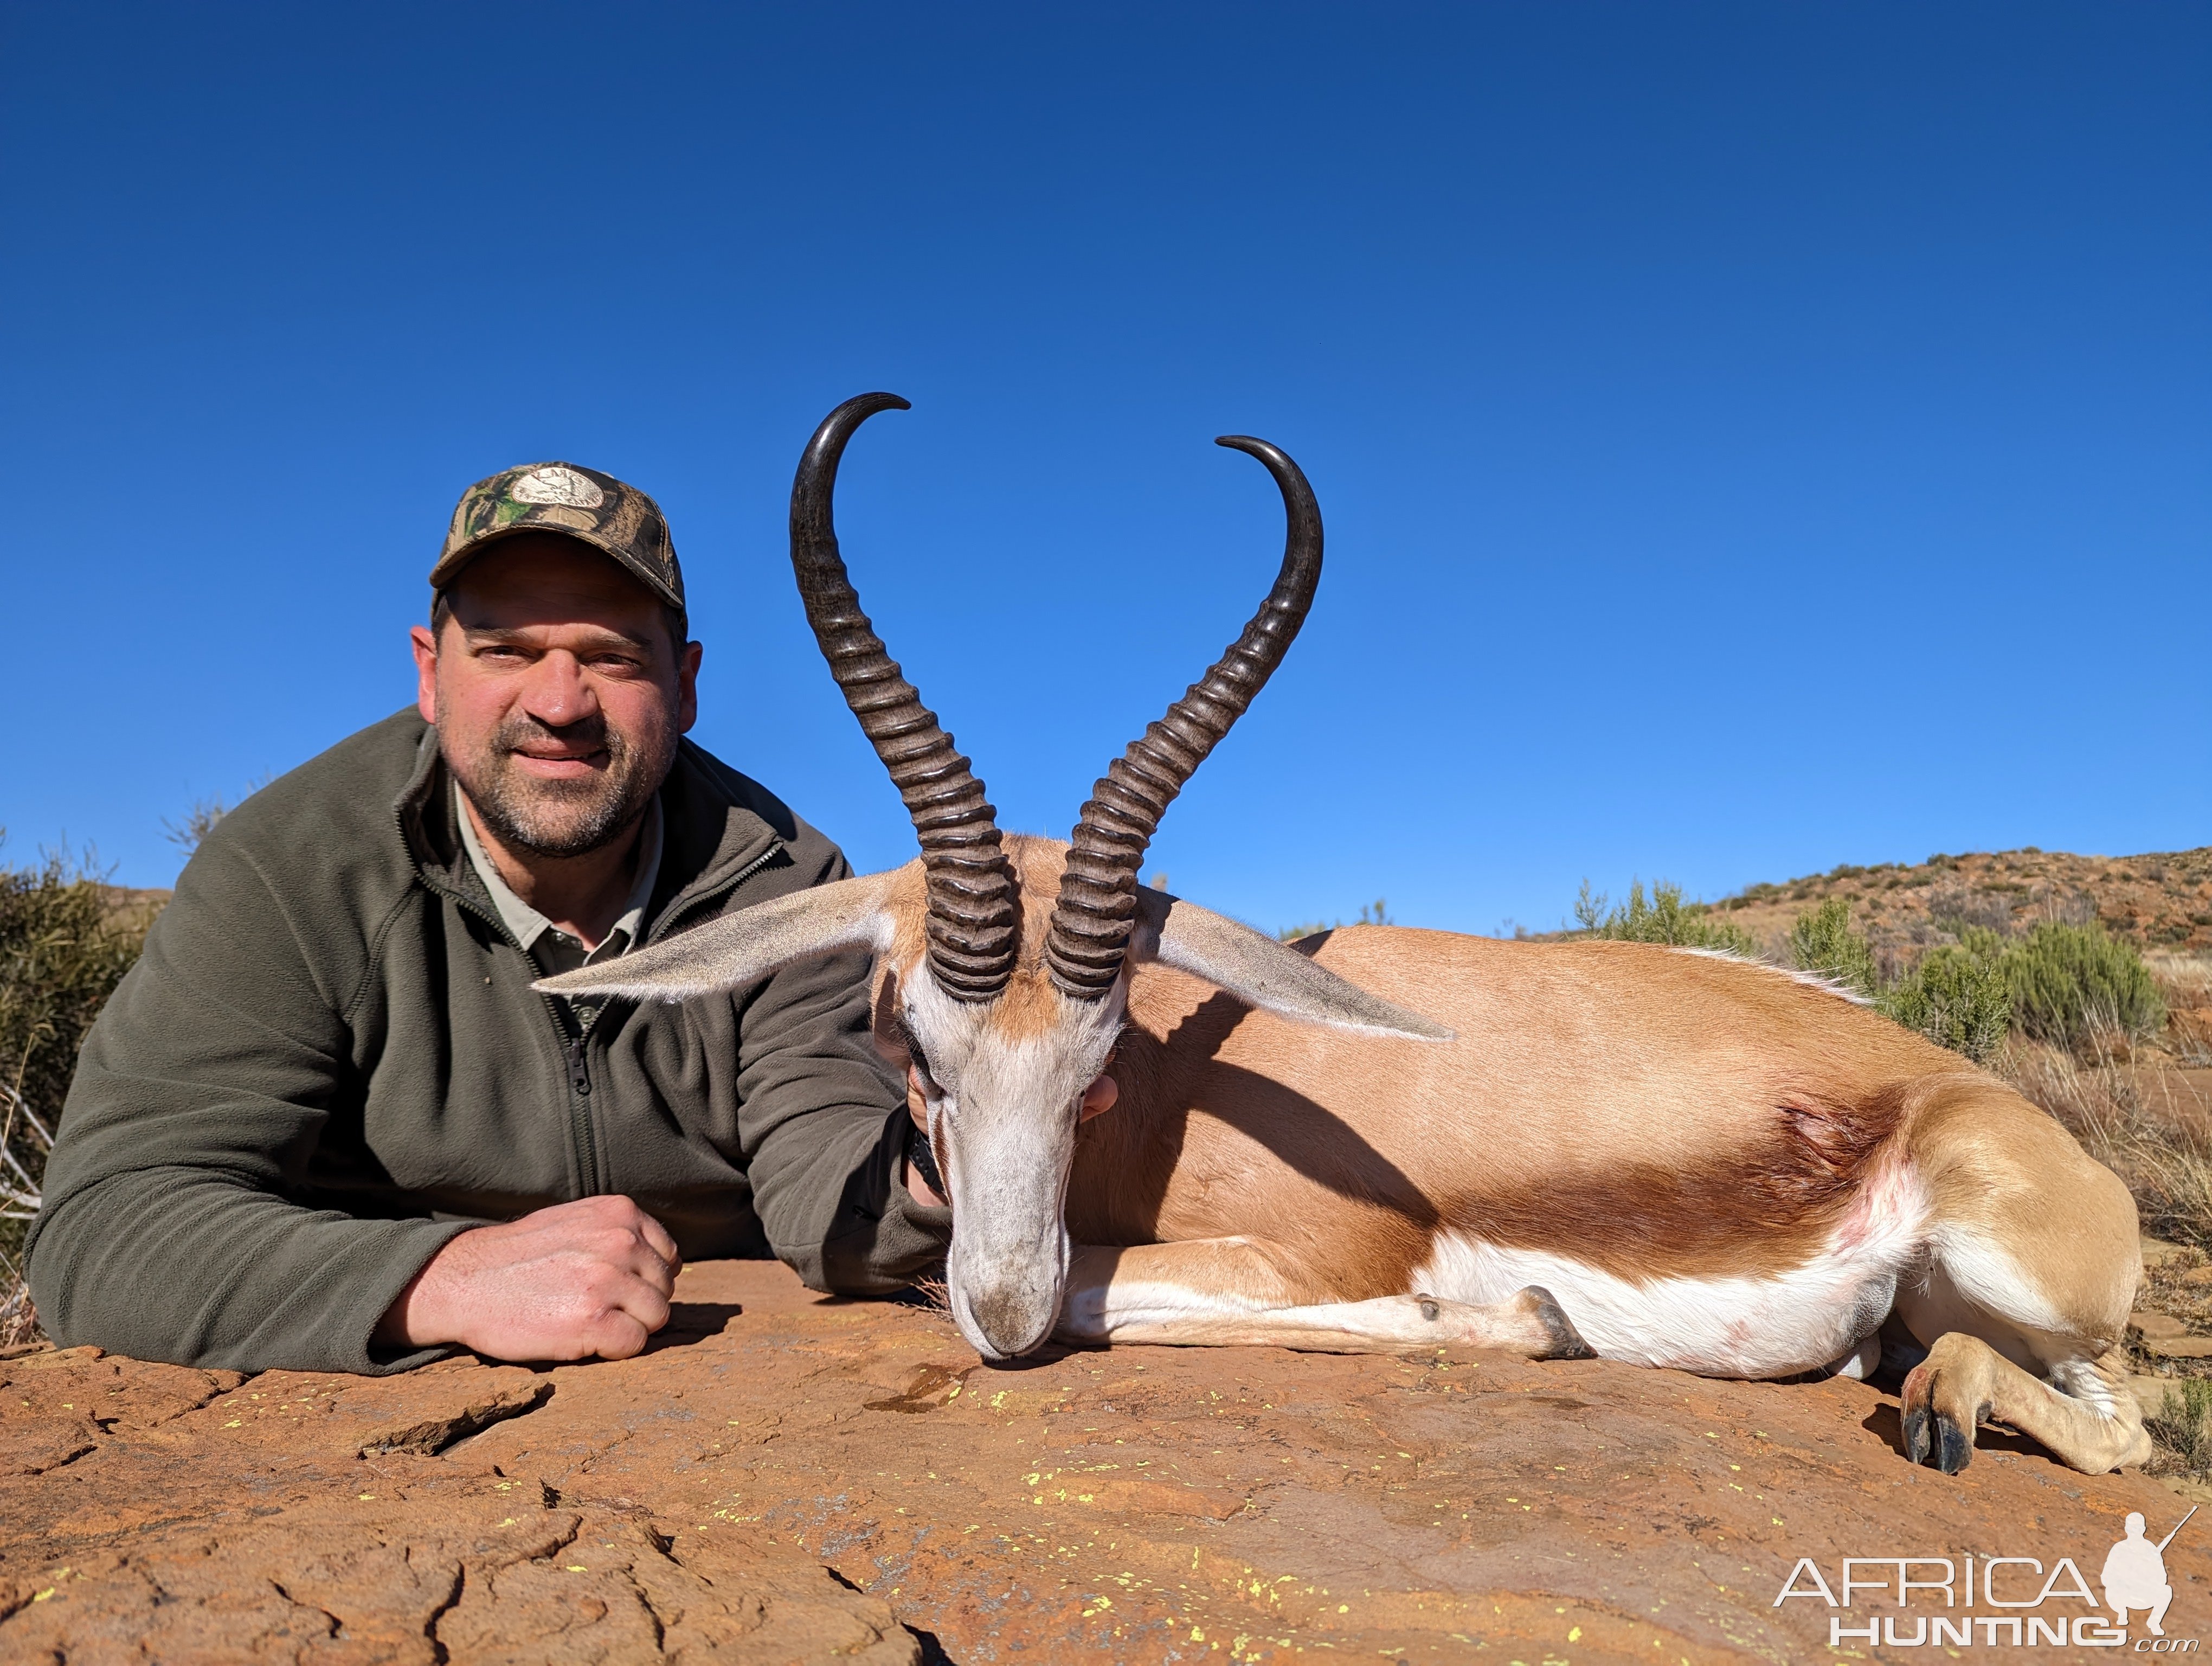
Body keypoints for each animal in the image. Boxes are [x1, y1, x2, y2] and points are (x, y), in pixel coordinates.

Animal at [544, 396, 2150, 1478]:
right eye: (912, 1047)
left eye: (1098, 1064)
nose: (996, 1317)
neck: (1186, 1093)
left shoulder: (1312, 1255)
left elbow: (1112, 1290)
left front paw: (1524, 1315)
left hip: (2020, 1281)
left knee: (2130, 1429)